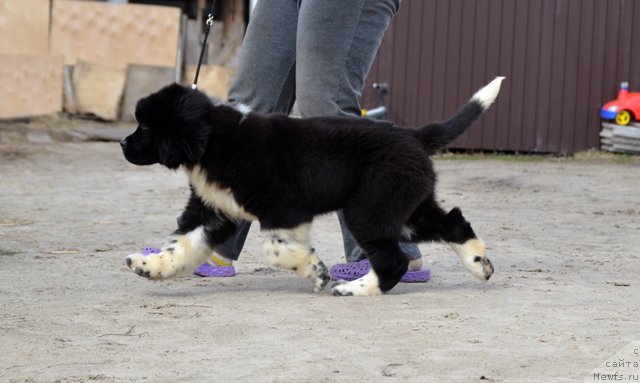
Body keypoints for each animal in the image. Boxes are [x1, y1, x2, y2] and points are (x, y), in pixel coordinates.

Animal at [119, 76, 500, 296]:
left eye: (146, 128)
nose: (122, 143)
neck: (213, 139)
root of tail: (414, 135)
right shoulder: (213, 211)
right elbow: (181, 245)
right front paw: (149, 265)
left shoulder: (284, 208)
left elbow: (274, 249)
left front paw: (315, 272)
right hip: (408, 207)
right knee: (453, 222)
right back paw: (479, 264)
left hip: (369, 208)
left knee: (394, 259)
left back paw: (355, 289)